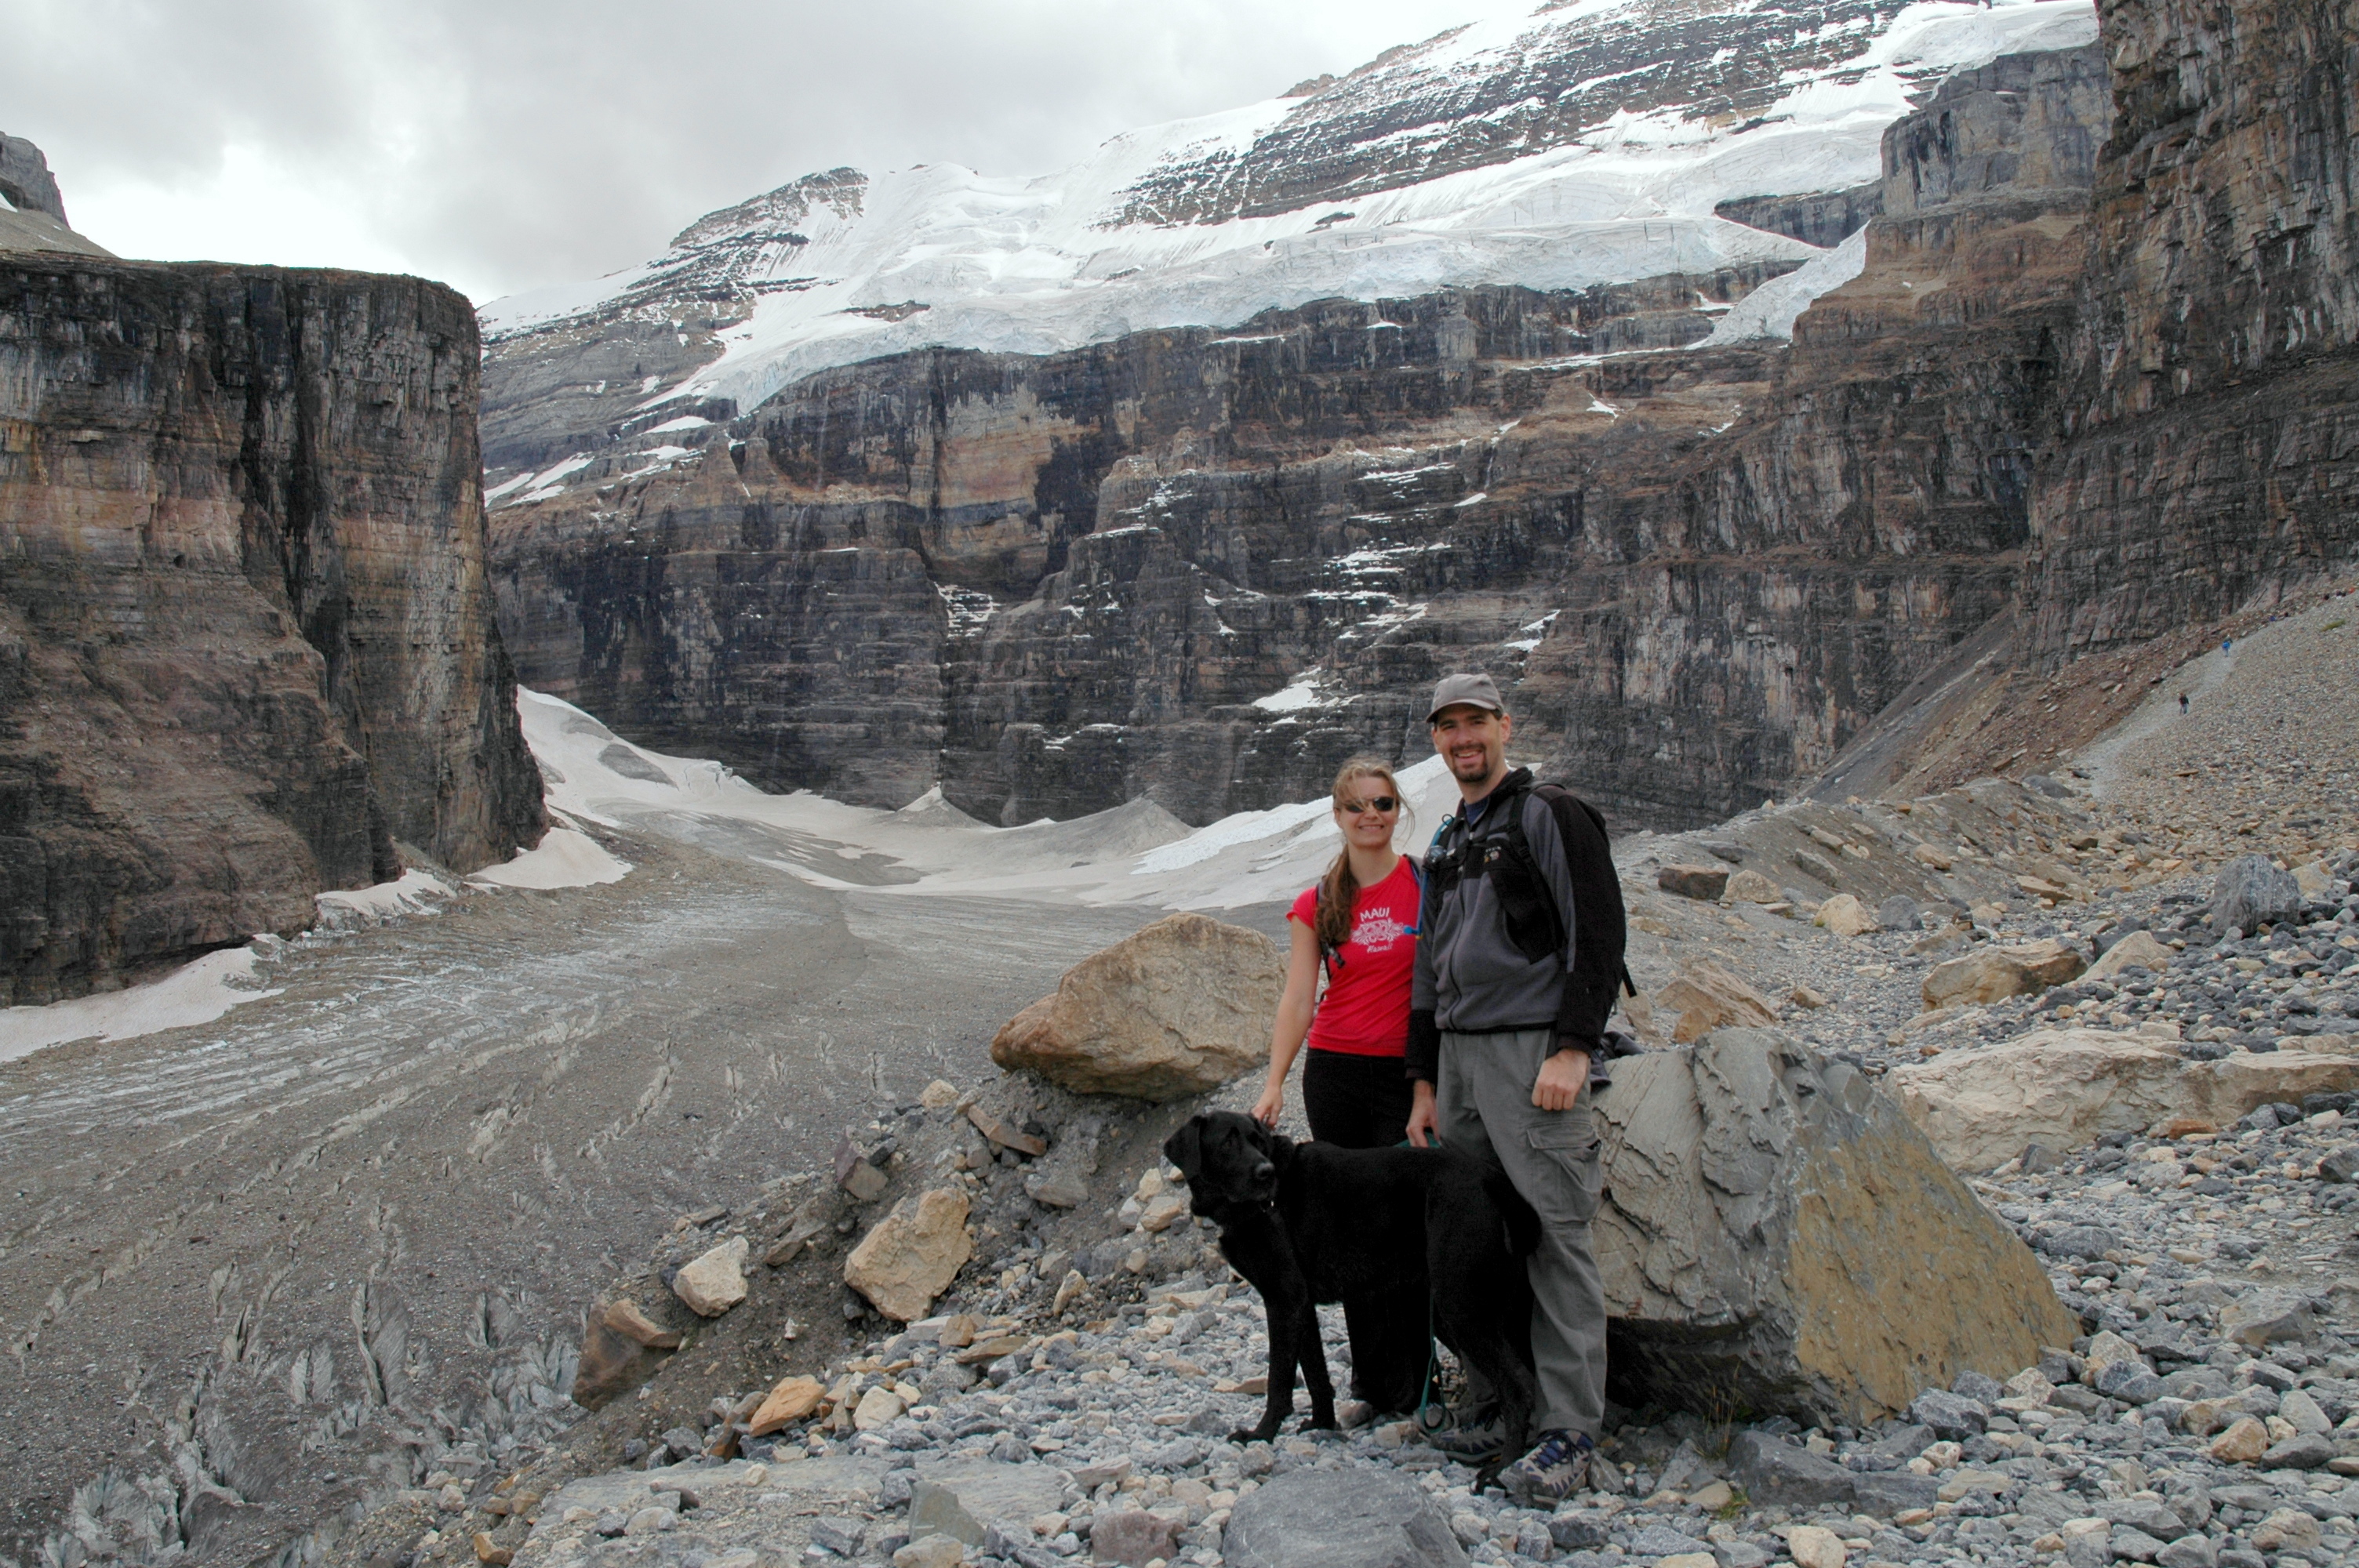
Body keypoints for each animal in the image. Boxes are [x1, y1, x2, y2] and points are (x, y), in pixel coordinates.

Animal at [1162, 1110, 1540, 1482]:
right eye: (1227, 1143)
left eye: (1258, 1142)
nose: (1265, 1173)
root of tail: (1491, 1178)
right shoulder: (1301, 1307)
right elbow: (1316, 1374)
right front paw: (1322, 1425)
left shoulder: (1284, 1300)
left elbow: (1278, 1381)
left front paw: (1261, 1434)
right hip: (1483, 1309)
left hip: (1460, 1306)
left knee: (1519, 1384)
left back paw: (1505, 1466)